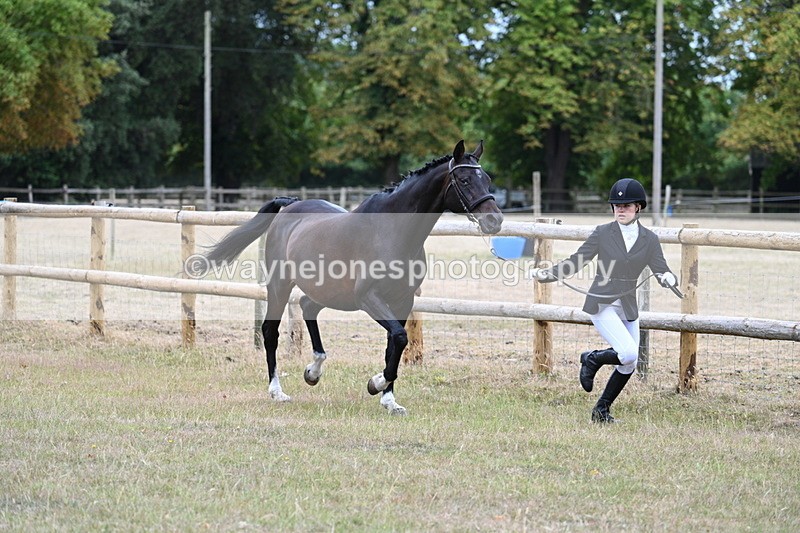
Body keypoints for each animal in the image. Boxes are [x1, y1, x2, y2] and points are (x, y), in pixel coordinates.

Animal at [199, 140, 503, 415]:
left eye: (487, 179)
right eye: (464, 179)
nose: (495, 221)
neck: (392, 232)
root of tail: (290, 205)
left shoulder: (402, 301)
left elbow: (394, 344)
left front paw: (389, 400)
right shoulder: (369, 298)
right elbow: (400, 337)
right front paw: (376, 383)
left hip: (329, 292)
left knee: (307, 307)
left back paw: (313, 371)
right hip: (280, 285)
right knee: (270, 332)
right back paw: (277, 391)